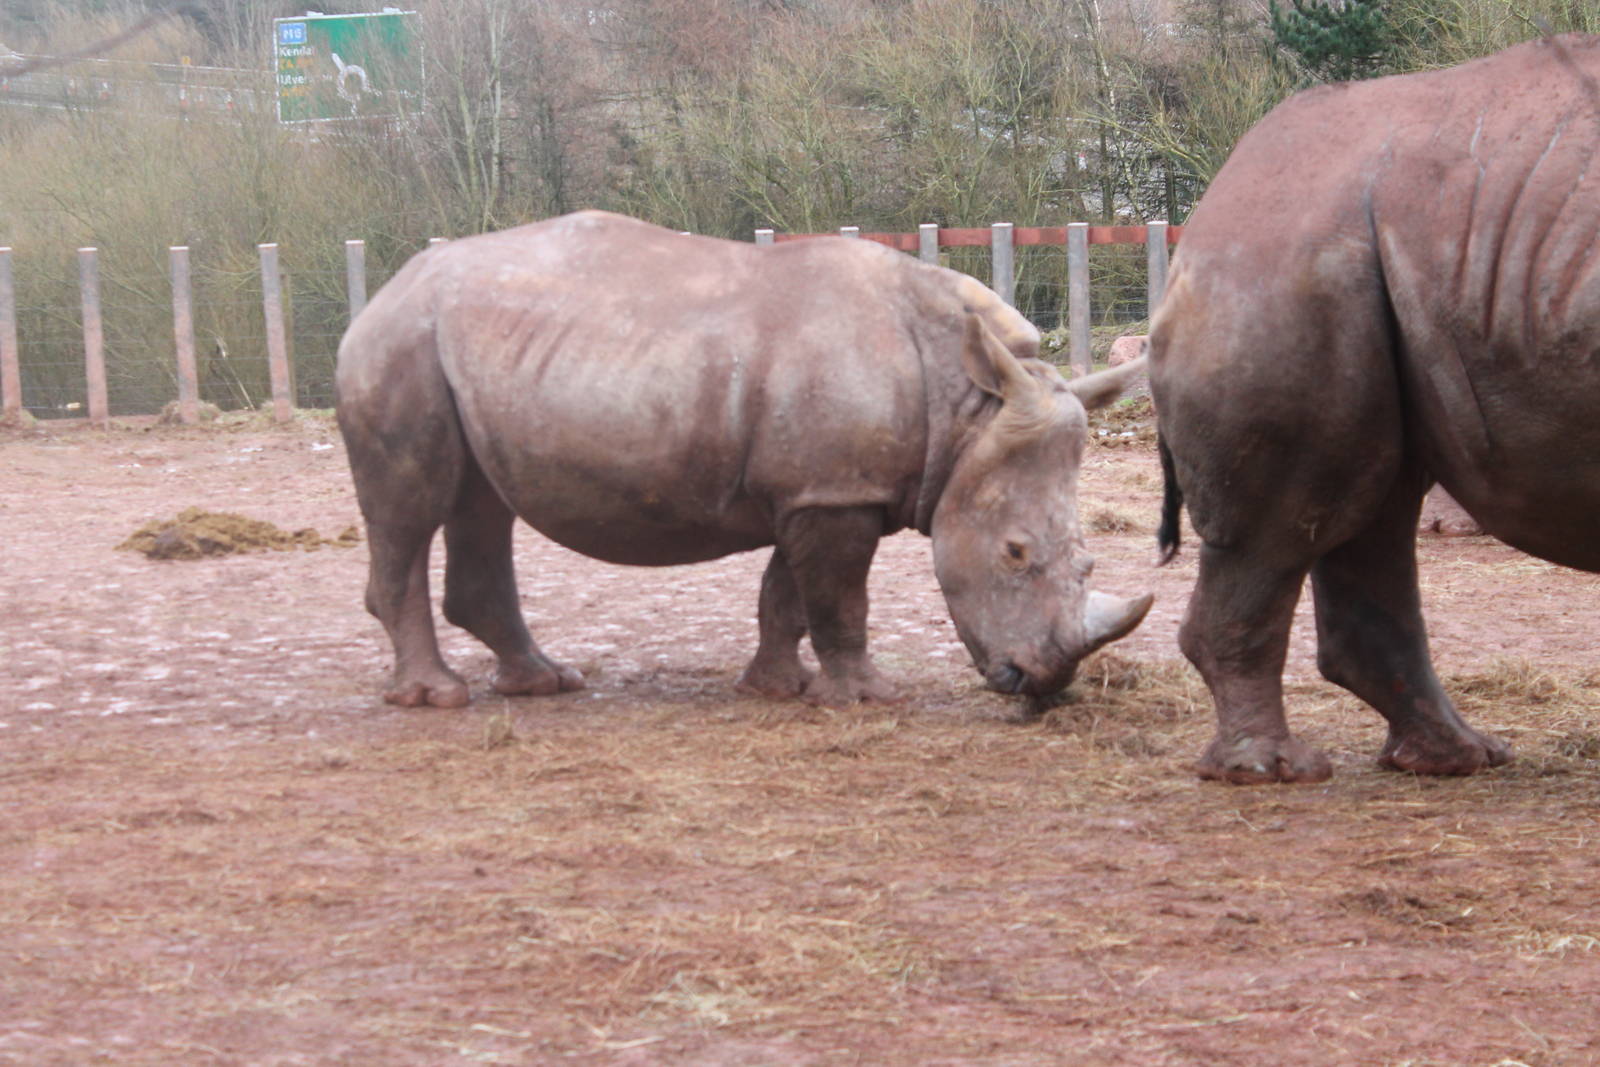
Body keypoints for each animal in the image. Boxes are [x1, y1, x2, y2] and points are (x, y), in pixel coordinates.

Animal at [336, 210, 1152, 709]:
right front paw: (866, 696)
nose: (1041, 684)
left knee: (479, 502)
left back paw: (543, 683)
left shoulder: (811, 488)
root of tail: (385, 289)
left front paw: (776, 689)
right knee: (412, 507)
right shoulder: (834, 493)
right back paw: (436, 697)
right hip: (401, 344)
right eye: (1015, 553)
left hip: (455, 348)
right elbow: (840, 598)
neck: (966, 413)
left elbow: (786, 593)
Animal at [1150, 35, 1600, 783]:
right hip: (1278, 262)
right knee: (1301, 515)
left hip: (1376, 246)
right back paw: (1271, 770)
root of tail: (1216, 192)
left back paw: (1457, 758)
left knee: (1375, 498)